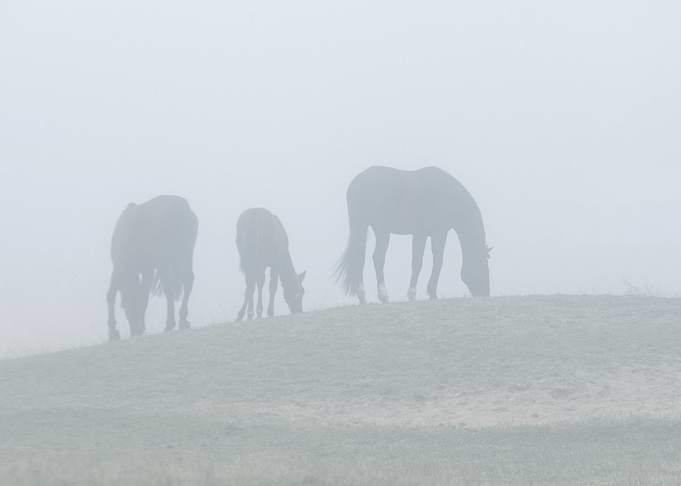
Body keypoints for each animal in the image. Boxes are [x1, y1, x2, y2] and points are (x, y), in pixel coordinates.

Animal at [106, 195, 198, 341]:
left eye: (126, 307)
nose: (133, 332)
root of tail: (180, 206)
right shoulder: (147, 271)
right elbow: (144, 297)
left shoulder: (118, 267)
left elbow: (110, 295)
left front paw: (112, 330)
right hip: (186, 254)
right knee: (188, 280)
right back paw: (183, 320)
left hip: (164, 259)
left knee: (169, 287)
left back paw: (169, 324)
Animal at [333, 166, 491, 304]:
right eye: (484, 265)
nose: (486, 293)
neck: (448, 195)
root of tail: (360, 181)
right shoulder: (439, 233)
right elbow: (438, 261)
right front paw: (432, 293)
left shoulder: (420, 234)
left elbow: (417, 263)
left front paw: (412, 295)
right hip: (382, 230)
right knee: (378, 258)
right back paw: (384, 296)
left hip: (362, 227)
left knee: (359, 258)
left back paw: (362, 297)